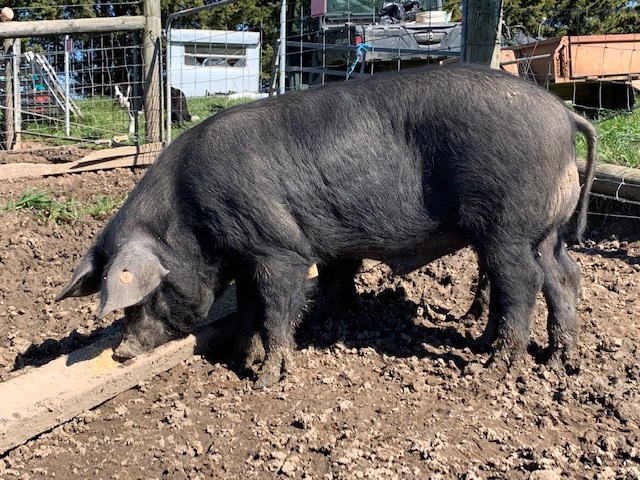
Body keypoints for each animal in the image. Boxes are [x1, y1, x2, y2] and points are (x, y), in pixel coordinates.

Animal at [56, 63, 597, 388]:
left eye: (142, 296)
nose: (121, 353)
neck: (192, 221)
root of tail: (564, 114)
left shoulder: (279, 248)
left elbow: (277, 307)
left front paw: (267, 379)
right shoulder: (251, 255)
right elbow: (254, 309)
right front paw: (245, 359)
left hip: (506, 224)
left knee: (522, 282)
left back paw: (493, 367)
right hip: (543, 231)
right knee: (564, 277)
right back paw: (560, 361)